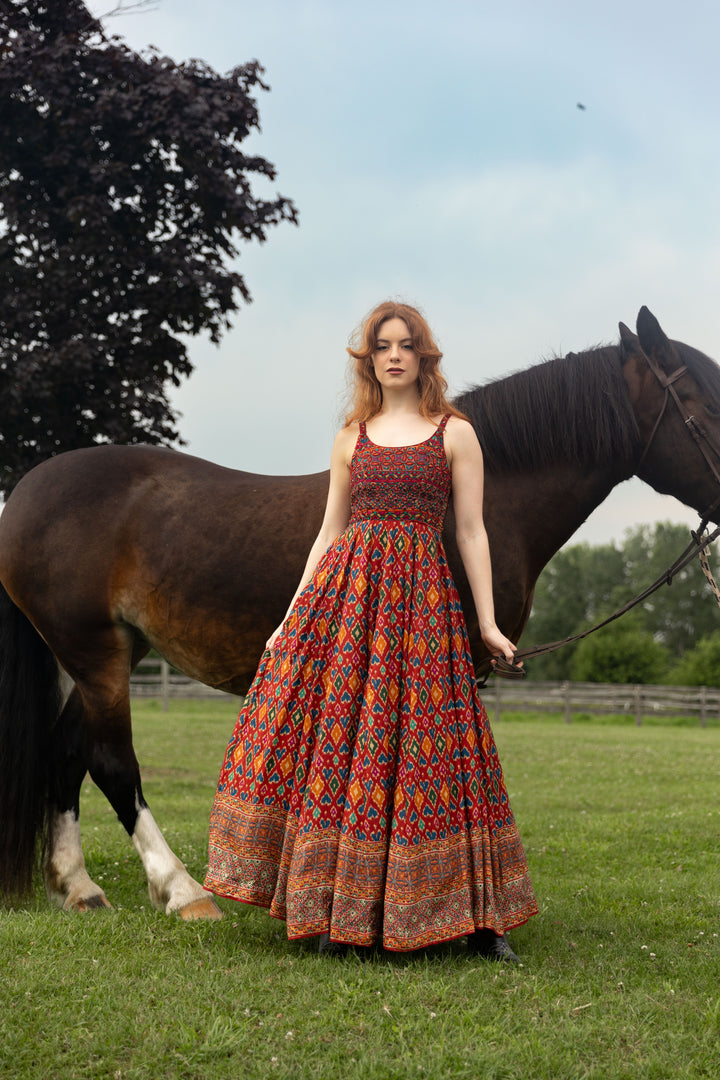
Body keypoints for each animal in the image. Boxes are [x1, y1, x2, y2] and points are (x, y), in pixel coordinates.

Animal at [1, 306, 720, 920]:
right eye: (704, 406)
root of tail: (28, 491)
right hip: (95, 653)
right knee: (110, 761)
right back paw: (182, 890)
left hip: (116, 651)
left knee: (68, 754)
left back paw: (79, 887)